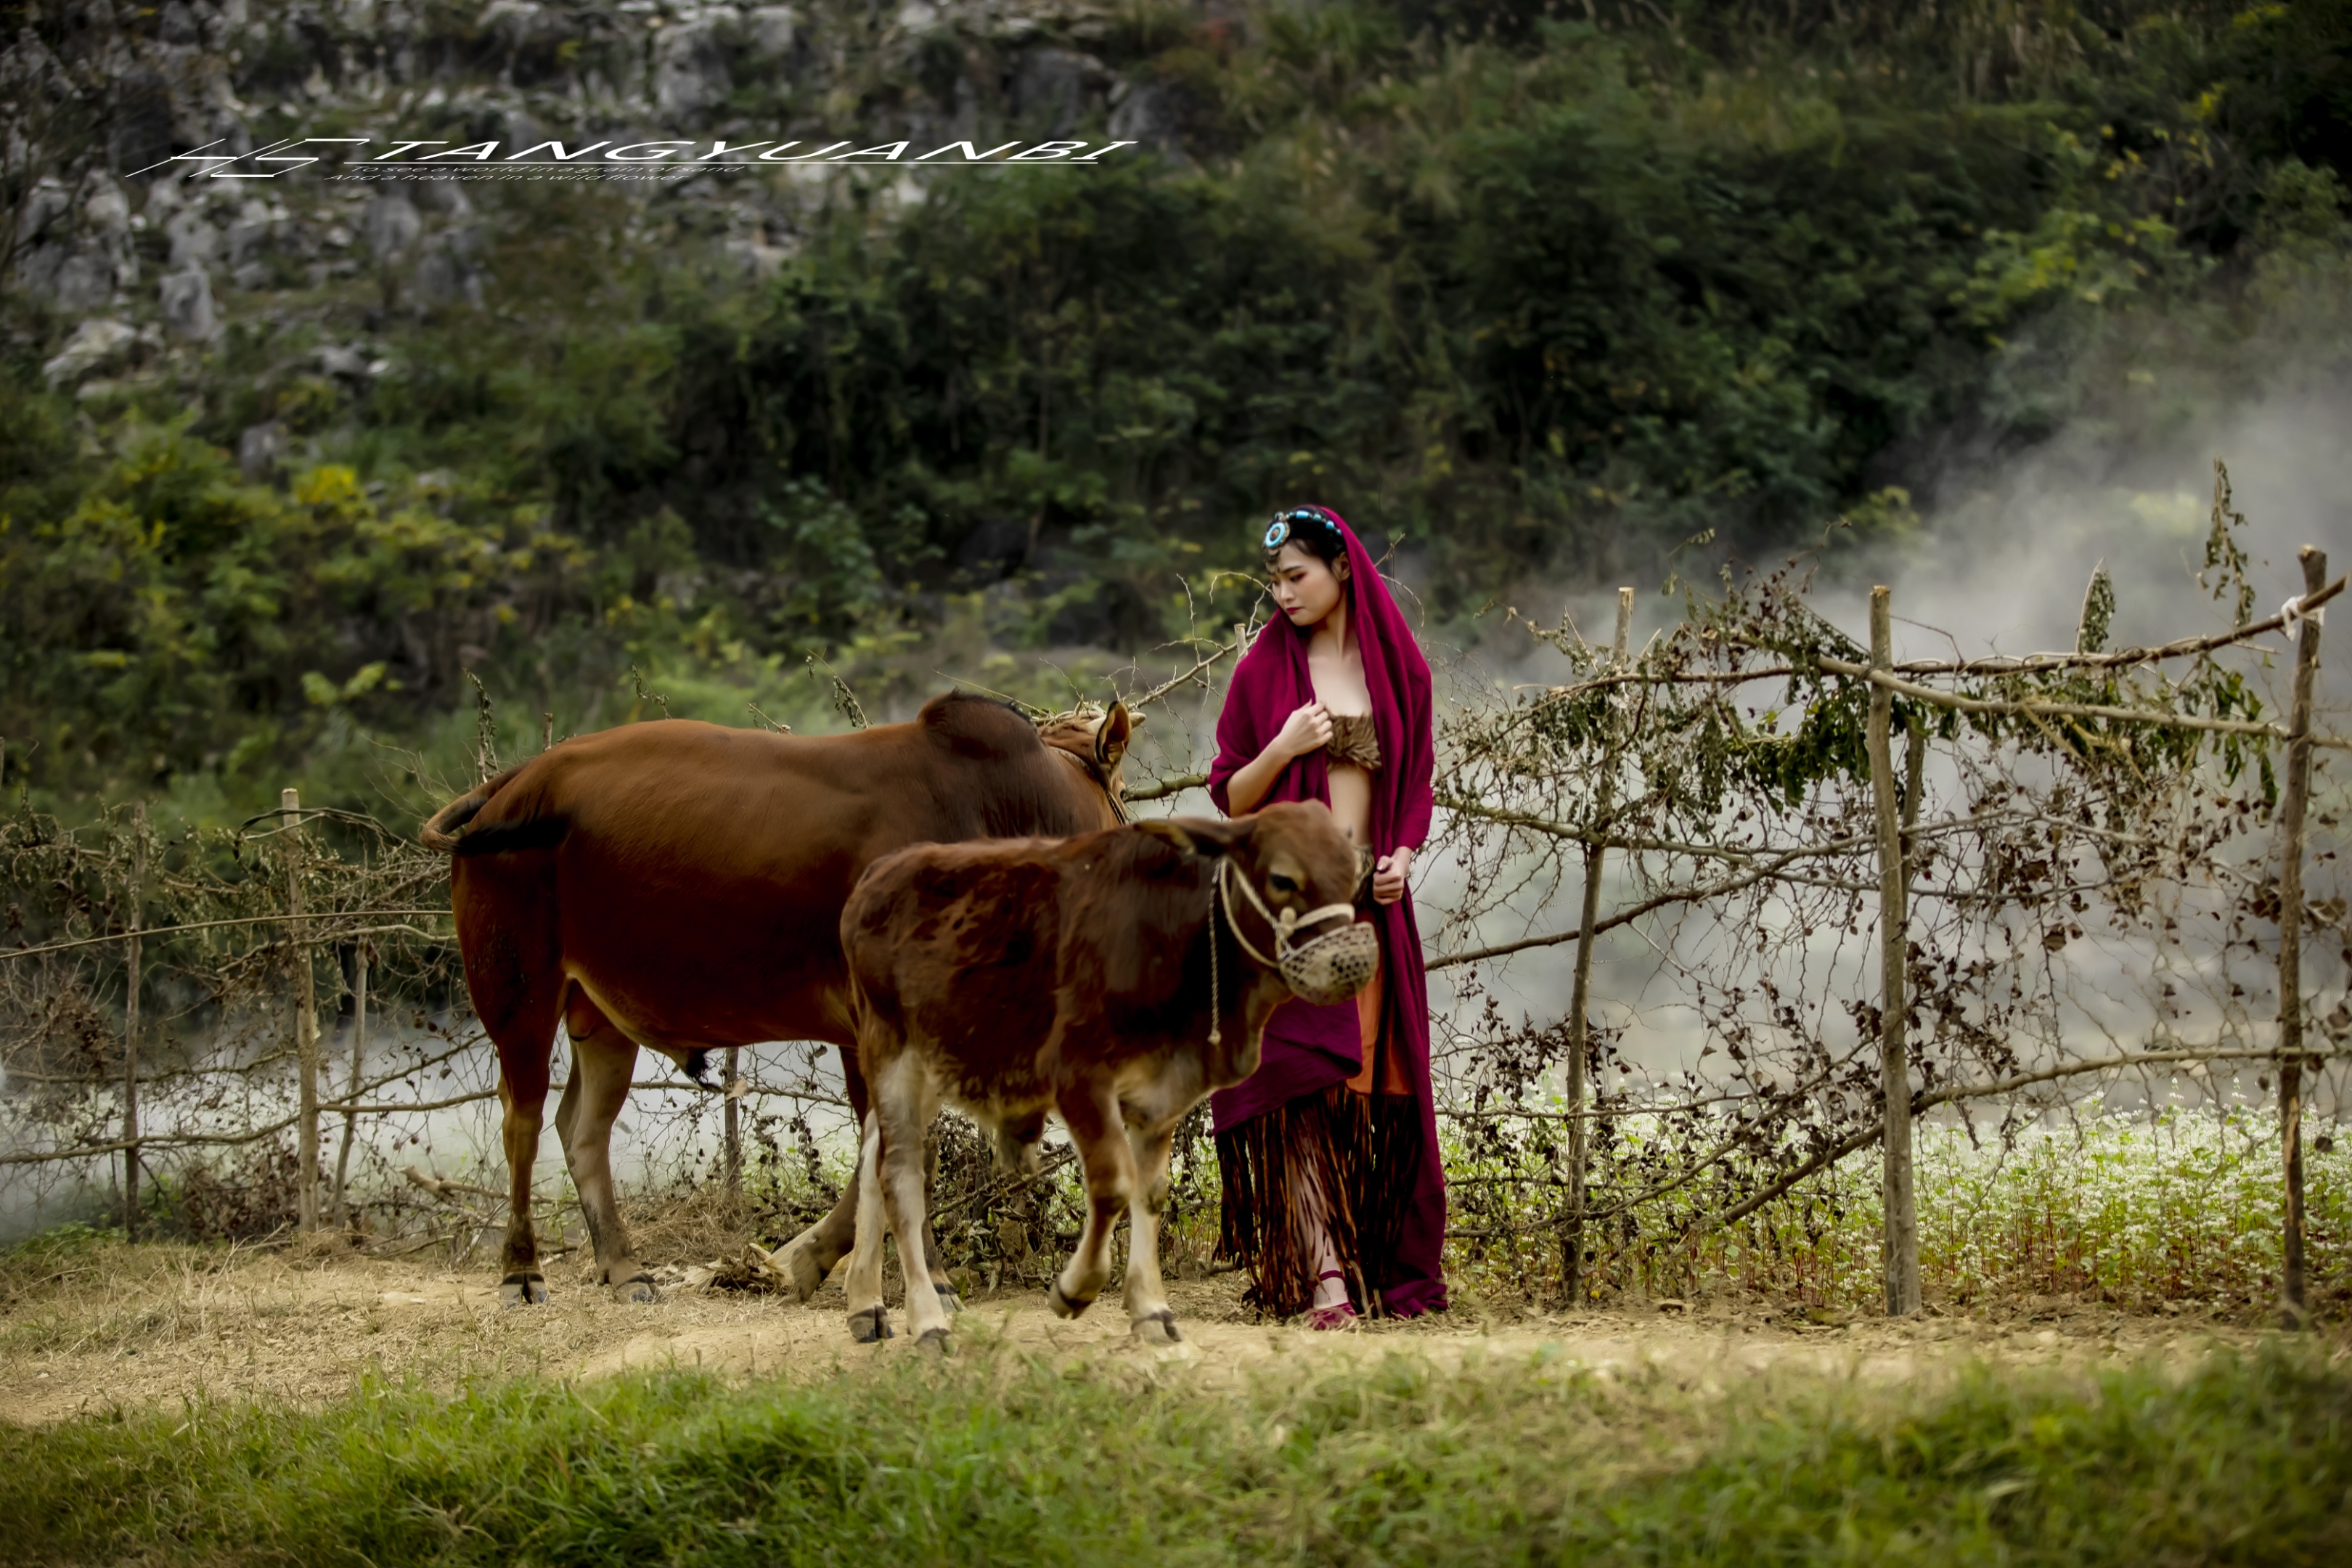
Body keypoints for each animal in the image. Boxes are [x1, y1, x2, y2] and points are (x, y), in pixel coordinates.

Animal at [420, 701, 1129, 1316]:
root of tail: (514, 783)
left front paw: (801, 1264)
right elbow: (906, 1156)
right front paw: (926, 1282)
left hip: (599, 1015)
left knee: (582, 1130)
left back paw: (625, 1270)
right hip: (518, 993)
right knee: (523, 1122)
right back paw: (522, 1271)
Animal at [841, 804, 1373, 1344]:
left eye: (1353, 875)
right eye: (1283, 878)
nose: (1351, 962)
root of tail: (878, 873)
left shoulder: (1162, 1096)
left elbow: (1150, 1192)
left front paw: (1152, 1309)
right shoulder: (1079, 1076)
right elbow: (1114, 1183)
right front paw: (1076, 1288)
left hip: (934, 1061)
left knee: (871, 1158)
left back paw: (867, 1305)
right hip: (891, 1051)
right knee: (899, 1176)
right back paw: (927, 1318)